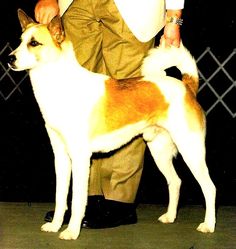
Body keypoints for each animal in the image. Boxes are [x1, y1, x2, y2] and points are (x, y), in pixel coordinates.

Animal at [8, 9, 216, 239]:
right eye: (20, 41)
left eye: (34, 43)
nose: (9, 58)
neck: (61, 83)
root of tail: (187, 86)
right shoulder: (61, 156)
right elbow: (60, 197)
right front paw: (55, 225)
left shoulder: (80, 157)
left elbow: (77, 200)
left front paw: (71, 231)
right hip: (159, 150)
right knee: (175, 182)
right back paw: (170, 216)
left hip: (191, 150)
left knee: (209, 188)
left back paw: (209, 225)